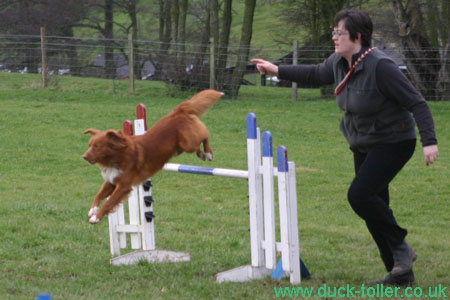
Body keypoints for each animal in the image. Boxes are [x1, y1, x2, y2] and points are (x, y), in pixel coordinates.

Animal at [81, 88, 222, 223]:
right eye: (89, 145)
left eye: (97, 146)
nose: (84, 157)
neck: (116, 157)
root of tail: (178, 110)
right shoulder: (111, 181)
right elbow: (99, 195)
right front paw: (93, 210)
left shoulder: (123, 186)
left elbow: (109, 202)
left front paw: (96, 217)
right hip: (181, 147)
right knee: (199, 143)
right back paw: (202, 154)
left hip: (189, 143)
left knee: (205, 134)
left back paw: (208, 153)